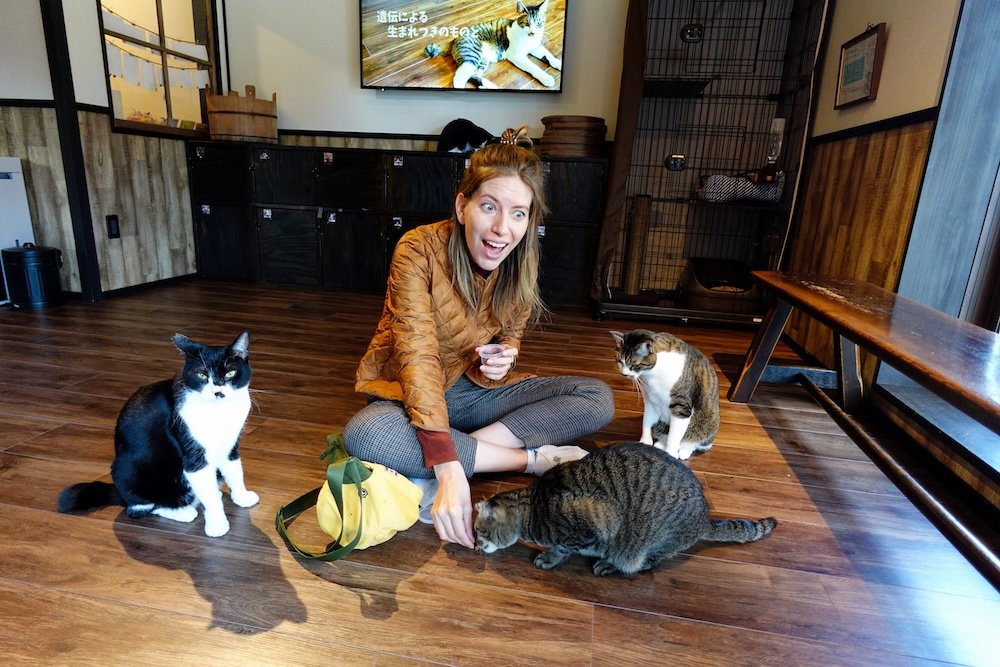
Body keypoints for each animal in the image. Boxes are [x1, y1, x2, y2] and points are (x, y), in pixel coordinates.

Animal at [422, 0, 564, 88]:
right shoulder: (516, 55)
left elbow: (548, 55)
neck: (529, 40)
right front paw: (546, 77)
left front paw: (559, 63)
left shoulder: (536, 47)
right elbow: (533, 66)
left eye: (539, 23)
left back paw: (488, 86)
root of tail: (454, 39)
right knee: (459, 78)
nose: (533, 33)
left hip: (482, 60)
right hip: (472, 56)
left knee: (473, 75)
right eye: (527, 24)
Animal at [472, 444, 776, 576]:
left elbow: (563, 548)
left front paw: (549, 557)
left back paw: (610, 564)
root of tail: (704, 518)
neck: (533, 508)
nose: (475, 547)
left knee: (645, 561)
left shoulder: (592, 524)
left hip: (649, 542)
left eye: (479, 531)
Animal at [608, 328, 720, 460]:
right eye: (619, 361)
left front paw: (671, 453)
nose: (624, 374)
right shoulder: (650, 401)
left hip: (707, 423)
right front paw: (645, 442)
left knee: (694, 441)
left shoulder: (681, 408)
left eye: (634, 364)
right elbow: (646, 421)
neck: (653, 374)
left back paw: (683, 451)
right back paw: (660, 444)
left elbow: (674, 437)